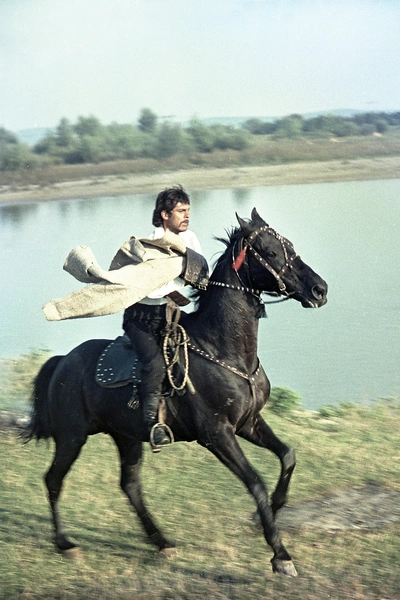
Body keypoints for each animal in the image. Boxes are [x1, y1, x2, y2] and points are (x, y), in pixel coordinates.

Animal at [25, 210, 326, 576]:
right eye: (269, 252)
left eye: (290, 247)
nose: (319, 289)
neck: (222, 349)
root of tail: (62, 362)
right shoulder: (216, 435)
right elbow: (255, 481)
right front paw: (280, 555)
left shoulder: (248, 423)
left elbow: (287, 456)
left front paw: (271, 511)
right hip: (72, 437)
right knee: (53, 480)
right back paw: (65, 544)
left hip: (125, 436)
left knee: (129, 485)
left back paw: (161, 542)